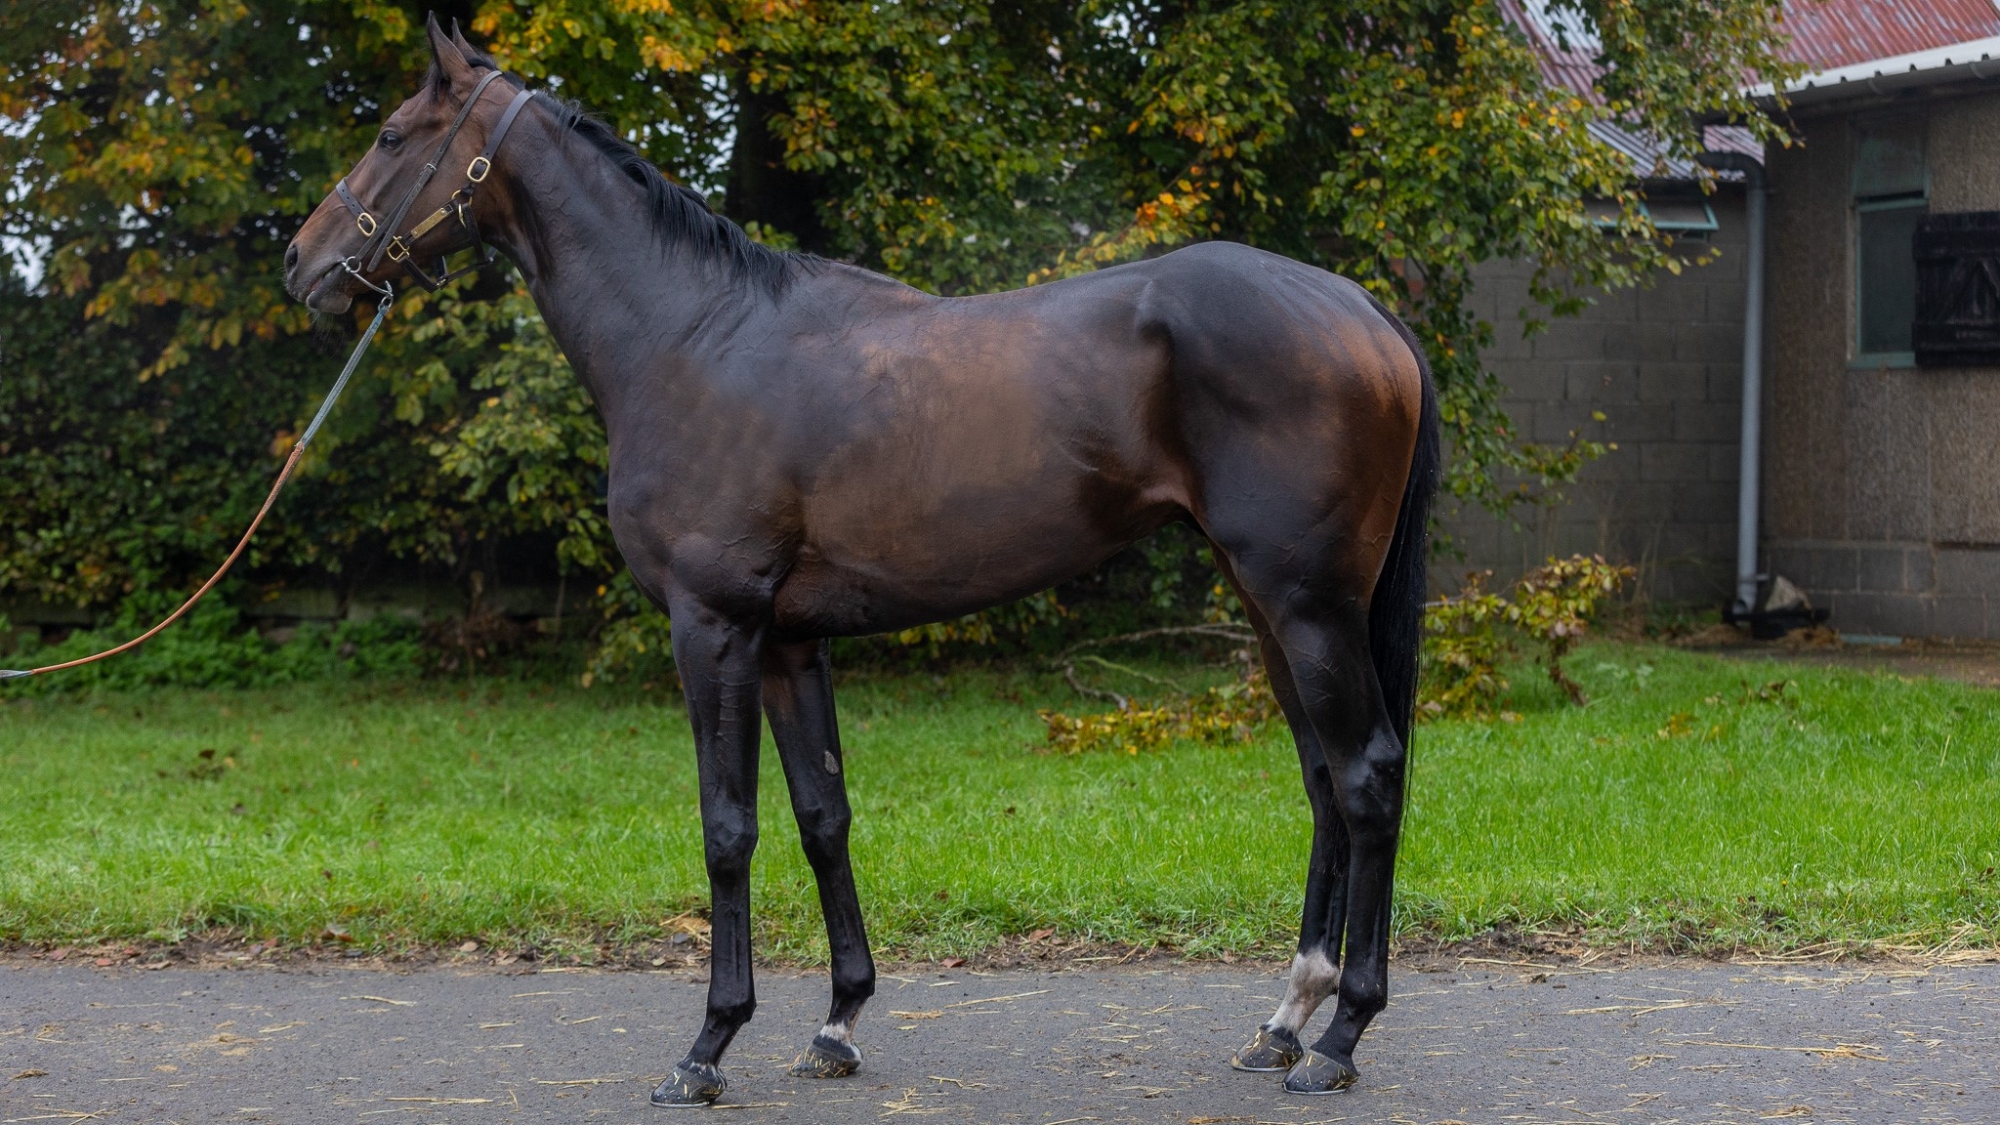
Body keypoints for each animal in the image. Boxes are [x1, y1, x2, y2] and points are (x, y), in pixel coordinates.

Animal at [282, 17, 1440, 1104]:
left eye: (392, 136)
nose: (302, 264)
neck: (692, 340)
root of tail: (1362, 308)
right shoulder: (792, 642)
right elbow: (821, 817)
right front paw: (837, 1023)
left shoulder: (713, 626)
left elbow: (728, 827)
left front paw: (707, 1048)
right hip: (1270, 605)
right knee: (1321, 778)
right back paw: (1283, 1020)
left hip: (1307, 603)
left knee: (1367, 774)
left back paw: (1338, 1038)